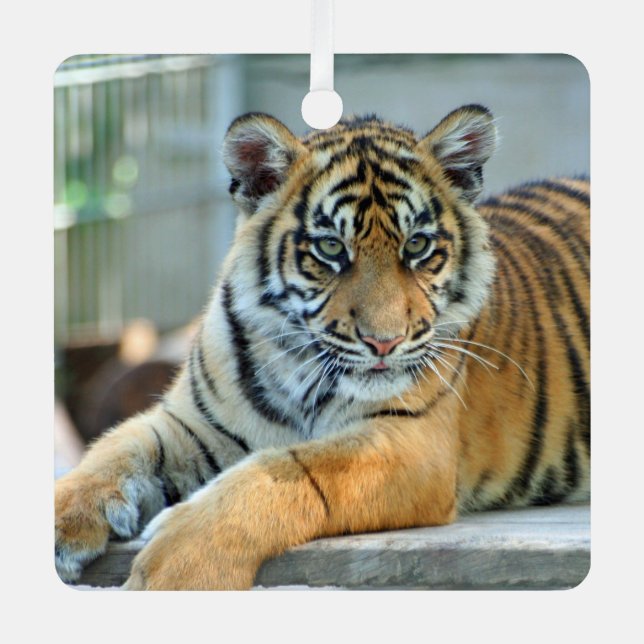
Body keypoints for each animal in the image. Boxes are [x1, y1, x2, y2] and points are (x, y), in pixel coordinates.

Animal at [54, 105, 590, 590]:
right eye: (330, 248)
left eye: (417, 246)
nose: (384, 342)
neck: (297, 366)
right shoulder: (193, 424)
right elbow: (114, 450)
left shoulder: (412, 443)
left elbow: (288, 470)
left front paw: (175, 568)